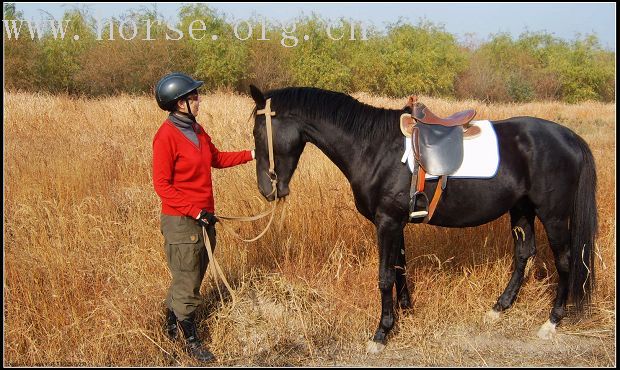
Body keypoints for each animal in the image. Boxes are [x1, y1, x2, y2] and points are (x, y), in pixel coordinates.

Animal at [249, 85, 600, 352]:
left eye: (258, 132)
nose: (267, 189)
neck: (373, 147)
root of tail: (568, 137)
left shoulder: (387, 222)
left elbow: (384, 276)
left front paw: (381, 334)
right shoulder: (395, 222)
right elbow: (399, 269)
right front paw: (405, 313)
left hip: (553, 215)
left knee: (566, 260)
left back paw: (552, 322)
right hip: (522, 209)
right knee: (524, 254)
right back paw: (498, 309)